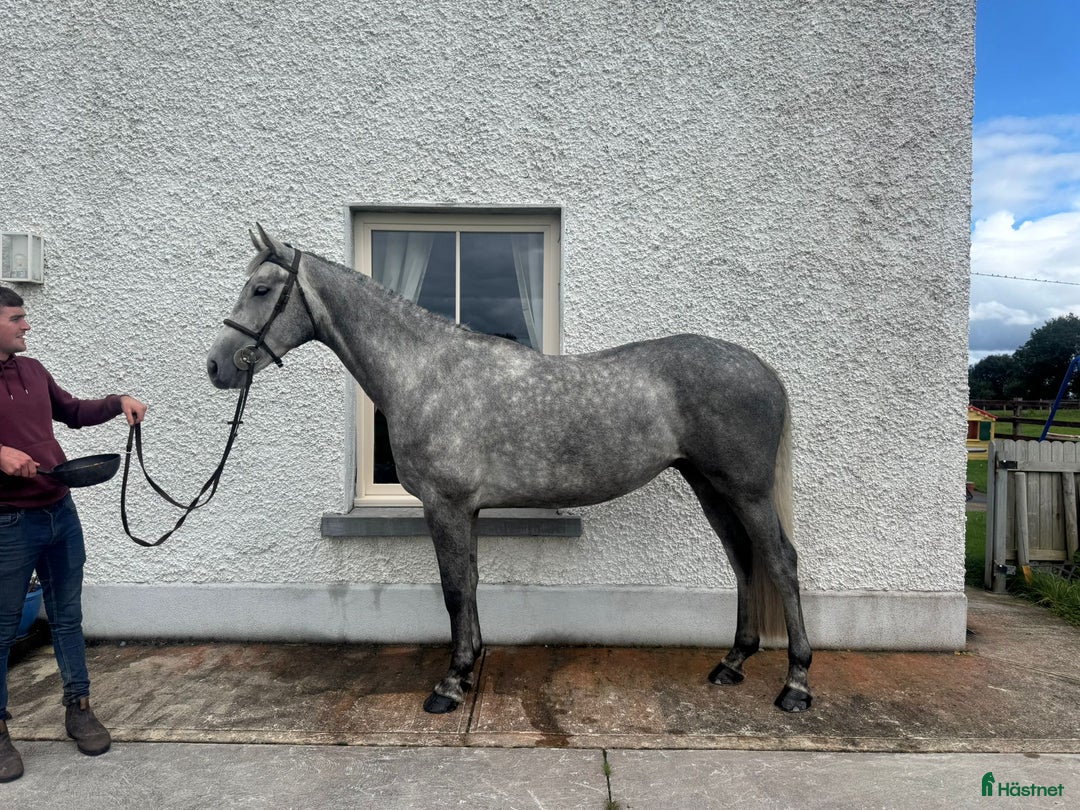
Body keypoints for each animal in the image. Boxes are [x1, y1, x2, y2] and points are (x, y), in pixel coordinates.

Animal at [206, 225, 813, 715]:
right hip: (709, 485)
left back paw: (796, 686)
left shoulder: (446, 506)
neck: (426, 372)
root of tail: (763, 369)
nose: (216, 365)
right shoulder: (464, 510)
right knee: (741, 557)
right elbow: (470, 584)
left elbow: (454, 590)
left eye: (261, 289)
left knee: (780, 561)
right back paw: (731, 663)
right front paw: (469, 667)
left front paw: (449, 686)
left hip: (747, 489)